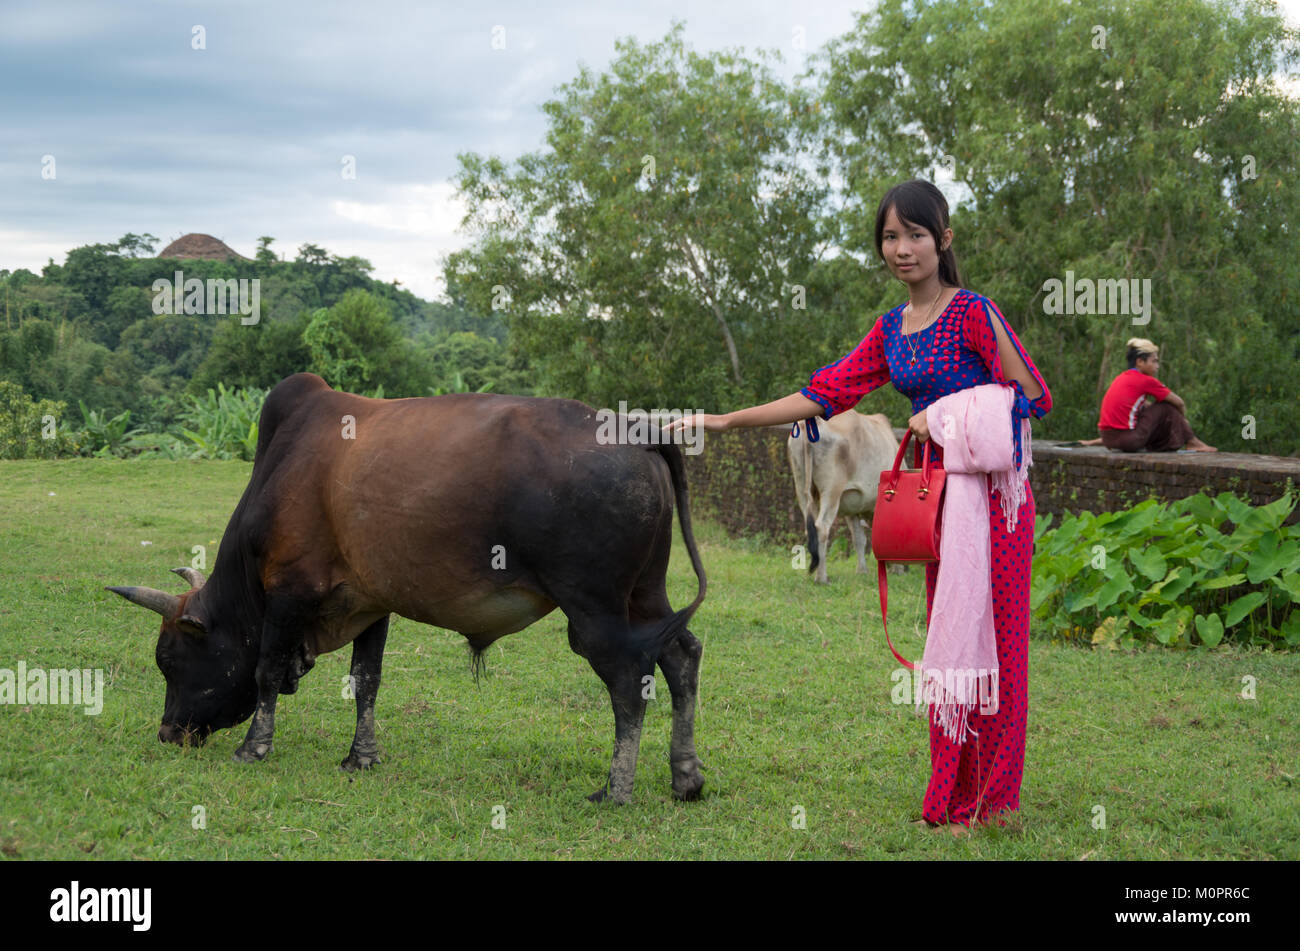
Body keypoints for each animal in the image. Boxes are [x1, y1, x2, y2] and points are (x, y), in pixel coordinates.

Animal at [785, 410, 899, 582]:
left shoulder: (852, 508)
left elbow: (859, 539)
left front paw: (862, 571)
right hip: (832, 490)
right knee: (822, 527)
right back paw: (822, 578)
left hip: (801, 486)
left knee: (810, 528)